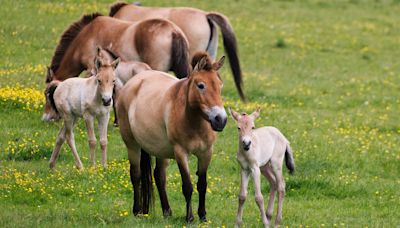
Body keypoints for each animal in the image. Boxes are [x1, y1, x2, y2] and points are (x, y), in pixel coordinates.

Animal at [116, 52, 228, 223]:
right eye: (201, 85)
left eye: (220, 86)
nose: (220, 120)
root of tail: (133, 82)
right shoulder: (181, 153)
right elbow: (187, 186)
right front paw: (189, 217)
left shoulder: (206, 153)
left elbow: (202, 184)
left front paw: (203, 216)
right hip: (132, 145)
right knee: (135, 175)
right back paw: (137, 211)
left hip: (160, 150)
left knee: (159, 176)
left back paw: (167, 212)